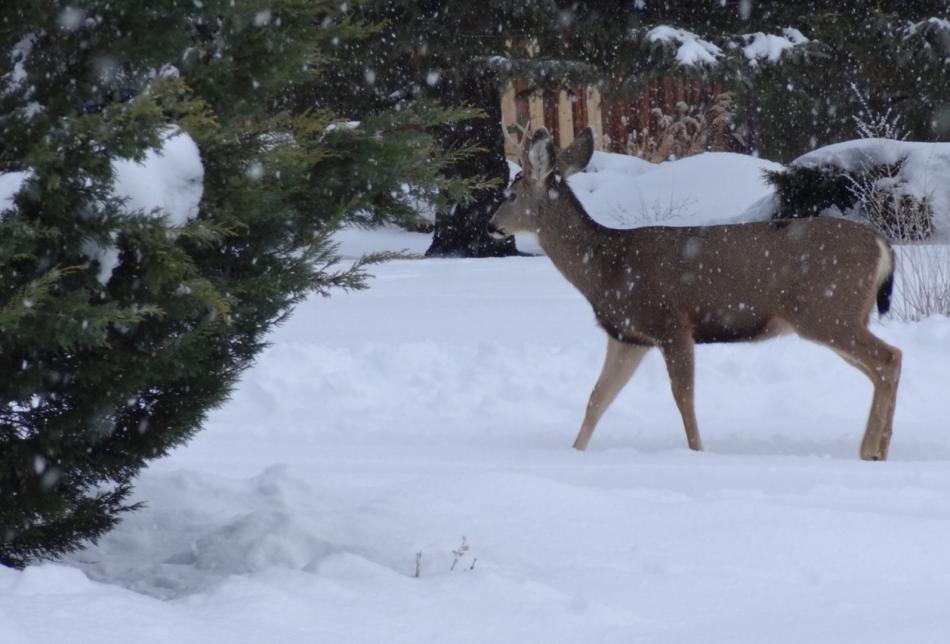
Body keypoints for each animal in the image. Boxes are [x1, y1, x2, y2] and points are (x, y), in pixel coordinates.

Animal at [488, 126, 901, 460]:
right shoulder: (628, 336)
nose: (491, 225)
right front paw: (575, 452)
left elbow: (683, 398)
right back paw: (876, 449)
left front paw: (697, 453)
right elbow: (597, 397)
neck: (607, 269)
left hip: (827, 310)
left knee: (889, 357)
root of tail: (883, 246)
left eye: (511, 194)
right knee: (882, 365)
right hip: (840, 316)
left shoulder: (672, 324)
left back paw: (870, 450)